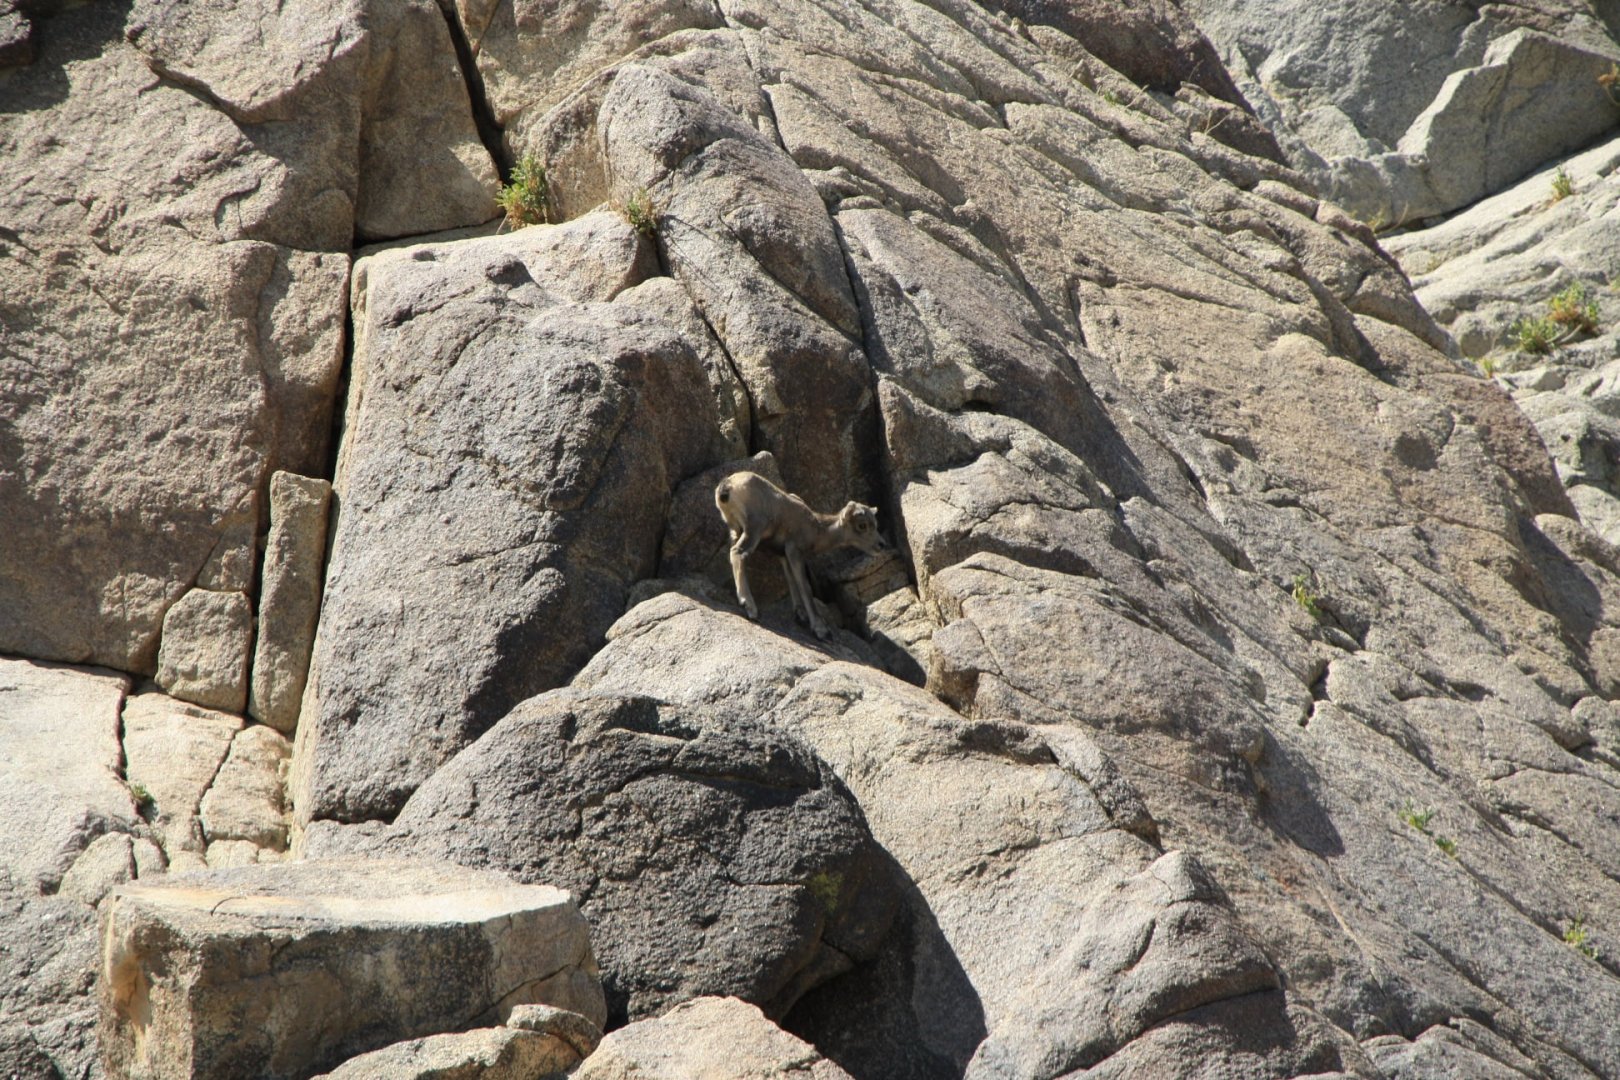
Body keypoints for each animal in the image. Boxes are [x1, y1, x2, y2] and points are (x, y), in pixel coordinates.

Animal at [714, 471, 885, 639]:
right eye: (862, 525)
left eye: (876, 524)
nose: (881, 545)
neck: (816, 529)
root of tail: (728, 485)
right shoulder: (794, 551)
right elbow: (805, 587)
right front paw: (821, 630)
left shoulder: (783, 555)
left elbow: (791, 581)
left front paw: (800, 616)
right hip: (754, 529)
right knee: (738, 553)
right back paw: (750, 607)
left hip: (735, 530)